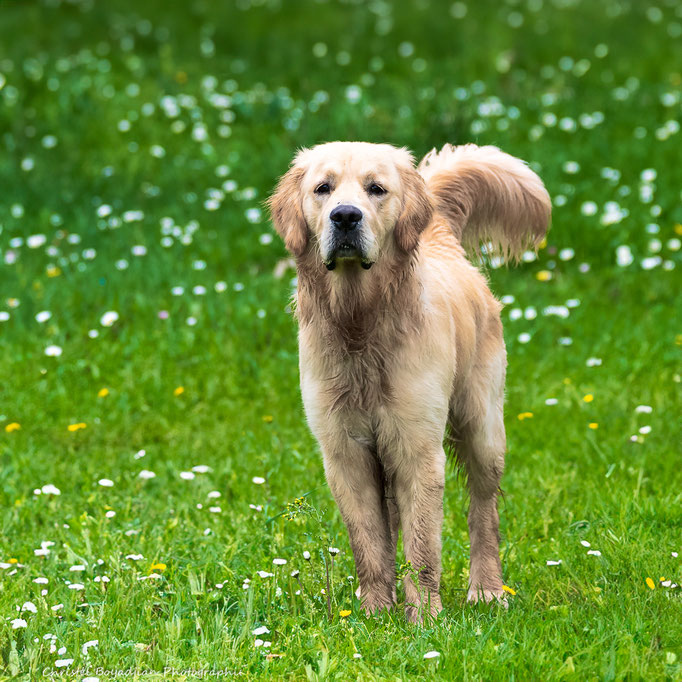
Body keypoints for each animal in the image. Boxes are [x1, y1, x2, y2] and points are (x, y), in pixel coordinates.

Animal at [266, 141, 548, 620]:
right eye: (323, 188)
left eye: (376, 189)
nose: (345, 216)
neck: (360, 325)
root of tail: (438, 234)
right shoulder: (345, 452)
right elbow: (369, 543)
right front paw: (375, 613)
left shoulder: (418, 448)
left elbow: (423, 547)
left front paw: (426, 619)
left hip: (483, 427)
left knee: (484, 511)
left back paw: (487, 589)